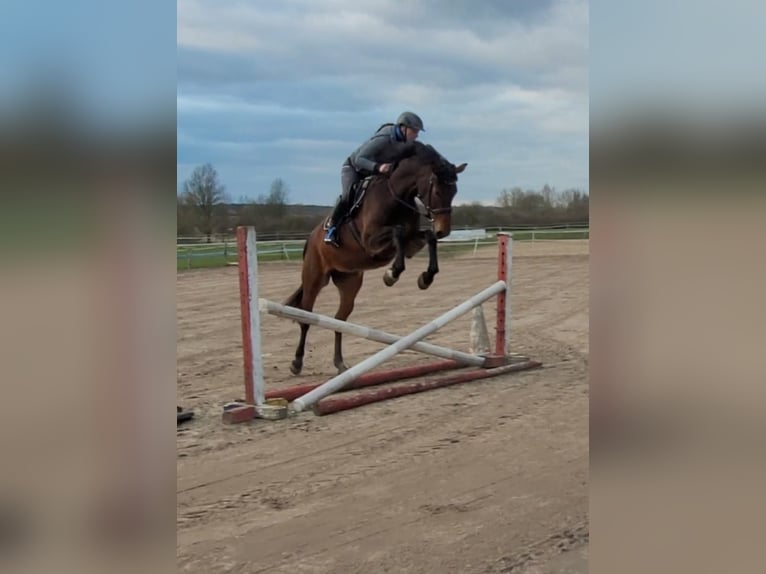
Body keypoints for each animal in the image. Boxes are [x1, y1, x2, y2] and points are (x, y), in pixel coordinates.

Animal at [284, 143, 468, 378]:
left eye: (454, 192)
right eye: (437, 191)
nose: (444, 230)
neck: (396, 194)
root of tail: (311, 238)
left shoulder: (412, 239)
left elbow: (426, 237)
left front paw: (426, 278)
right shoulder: (371, 241)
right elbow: (398, 232)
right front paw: (392, 274)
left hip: (349, 281)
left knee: (340, 319)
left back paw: (340, 363)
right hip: (314, 279)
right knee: (305, 318)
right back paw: (296, 363)